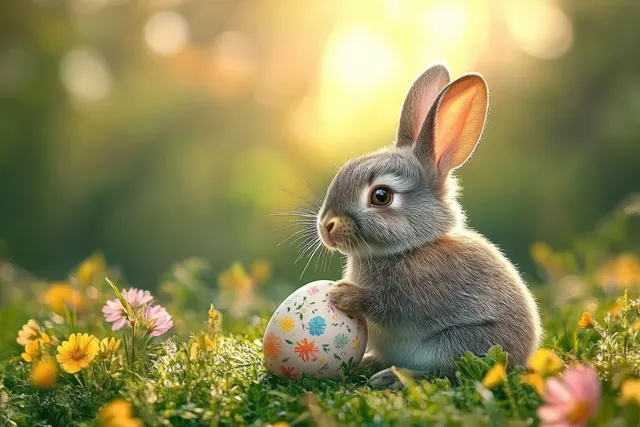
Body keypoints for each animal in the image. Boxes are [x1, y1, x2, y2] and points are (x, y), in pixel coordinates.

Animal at [316, 64, 542, 388]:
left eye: (381, 196)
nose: (326, 226)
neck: (410, 248)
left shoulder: (414, 298)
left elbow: (387, 306)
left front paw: (343, 294)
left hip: (457, 343)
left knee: (445, 372)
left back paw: (392, 377)